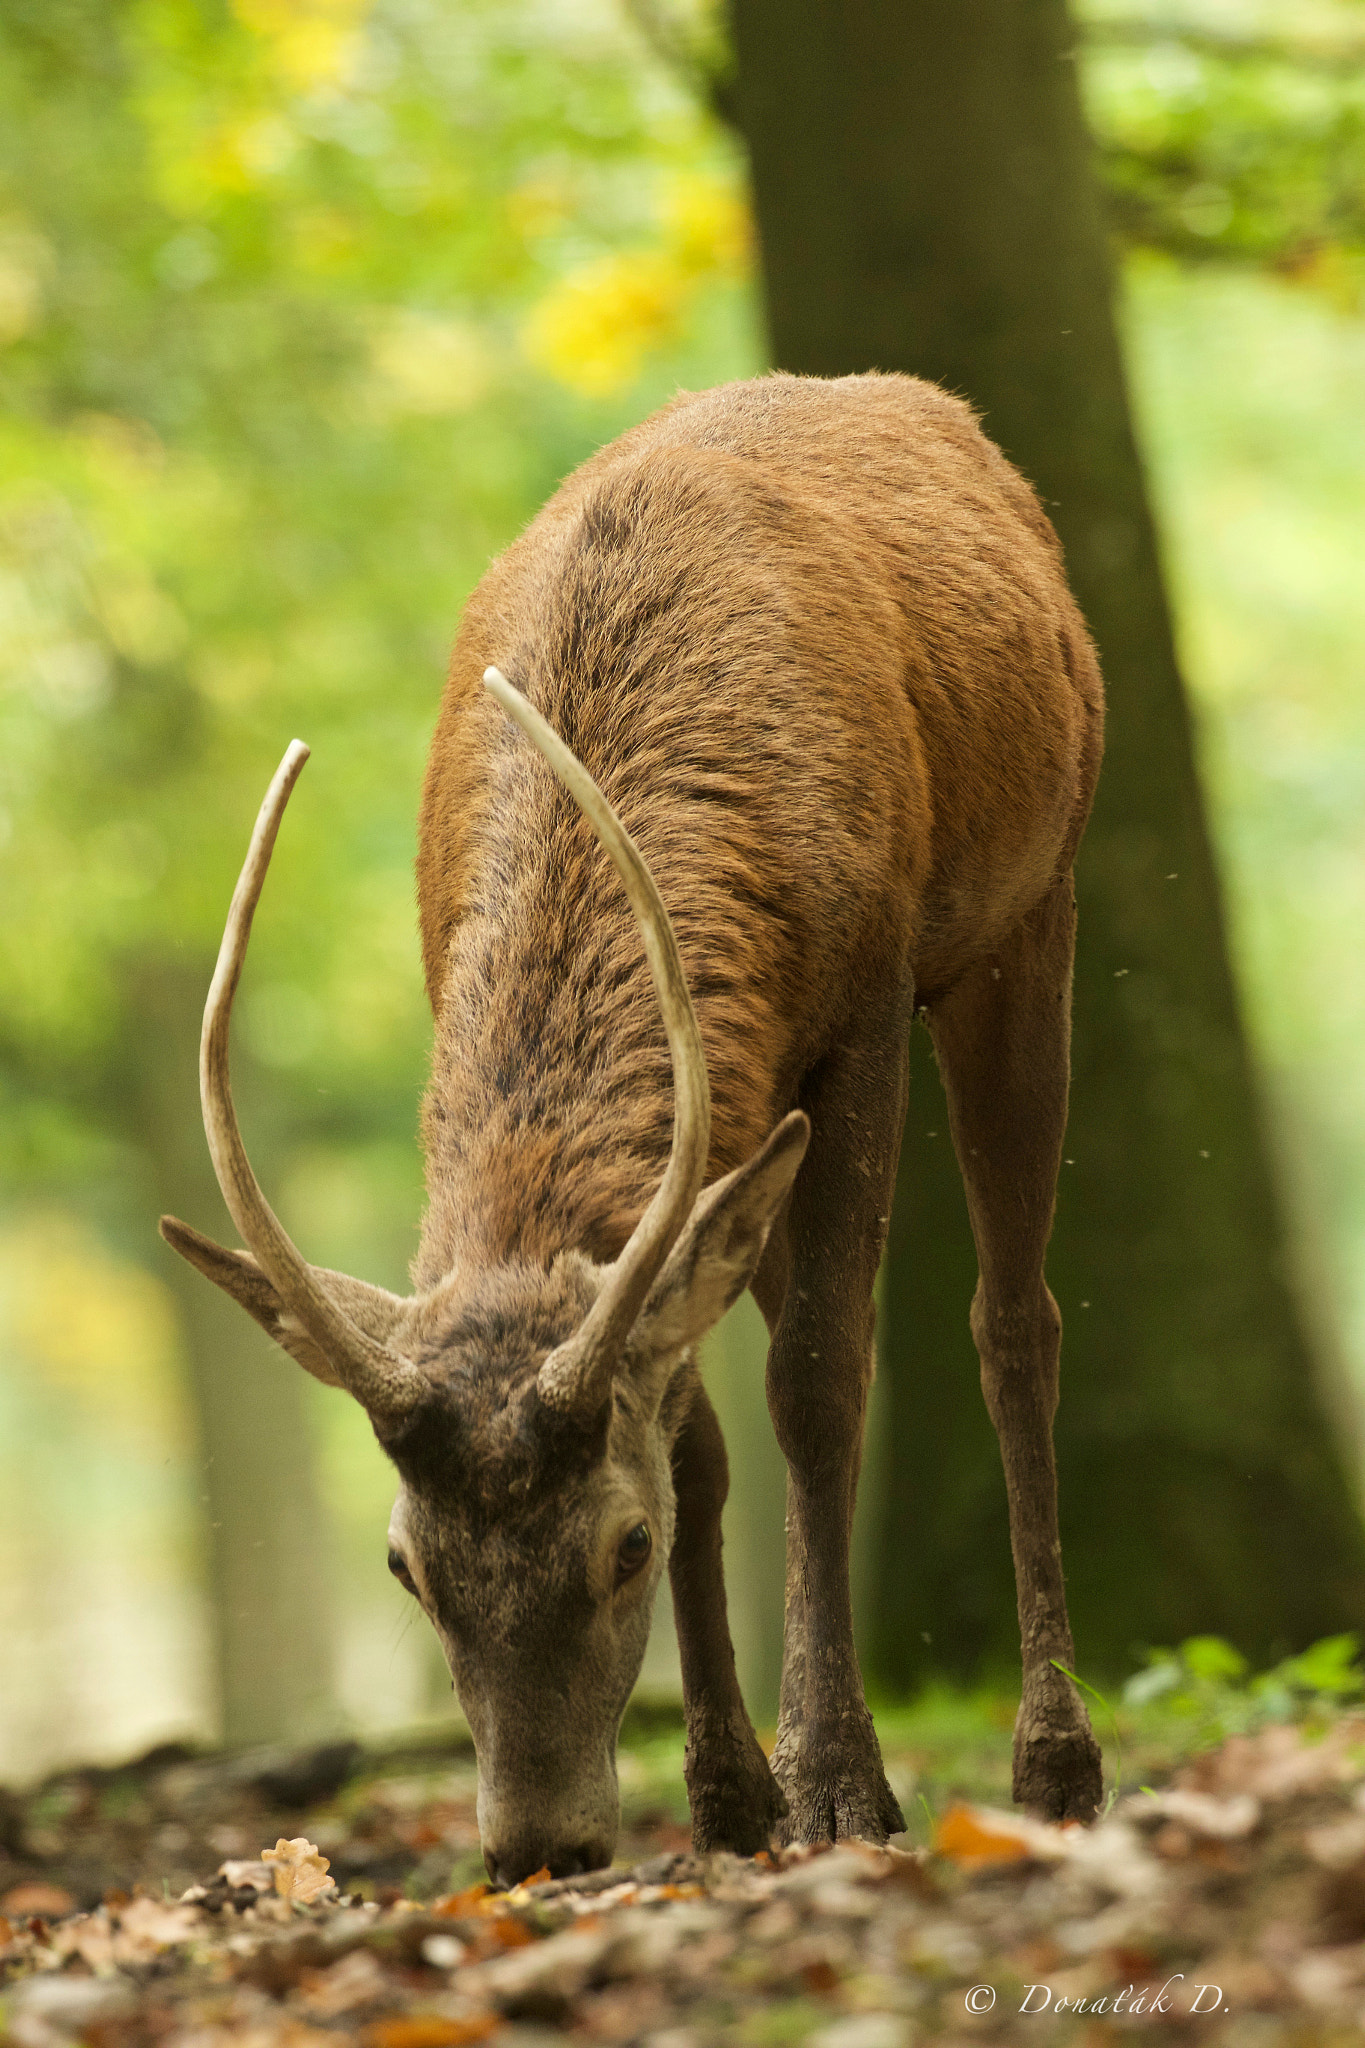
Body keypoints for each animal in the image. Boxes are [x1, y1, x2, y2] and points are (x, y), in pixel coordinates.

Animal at [162, 372, 1113, 1884]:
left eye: (618, 1549)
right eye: (405, 1565)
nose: (539, 1845)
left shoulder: (861, 1001)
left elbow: (820, 1383)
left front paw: (839, 1790)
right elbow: (700, 1436)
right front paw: (729, 1796)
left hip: (1029, 908)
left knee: (1015, 1323)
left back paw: (1057, 1761)